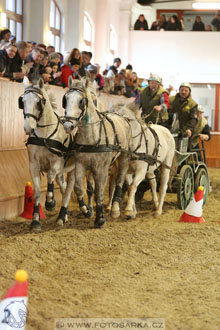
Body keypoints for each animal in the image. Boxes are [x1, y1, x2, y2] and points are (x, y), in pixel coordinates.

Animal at [20, 76, 76, 229]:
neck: (45, 136)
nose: (28, 128)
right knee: (64, 188)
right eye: (23, 101)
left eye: (38, 102)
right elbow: (37, 193)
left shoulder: (56, 162)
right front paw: (35, 220)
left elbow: (50, 175)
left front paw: (50, 202)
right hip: (62, 172)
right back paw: (65, 215)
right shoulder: (33, 164)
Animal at [62, 76, 133, 227]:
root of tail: (122, 116)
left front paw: (100, 219)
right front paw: (86, 210)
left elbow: (99, 192)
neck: (91, 138)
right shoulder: (81, 164)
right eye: (66, 99)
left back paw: (115, 209)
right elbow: (79, 188)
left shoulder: (101, 168)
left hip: (124, 157)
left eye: (81, 101)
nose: (68, 126)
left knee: (119, 180)